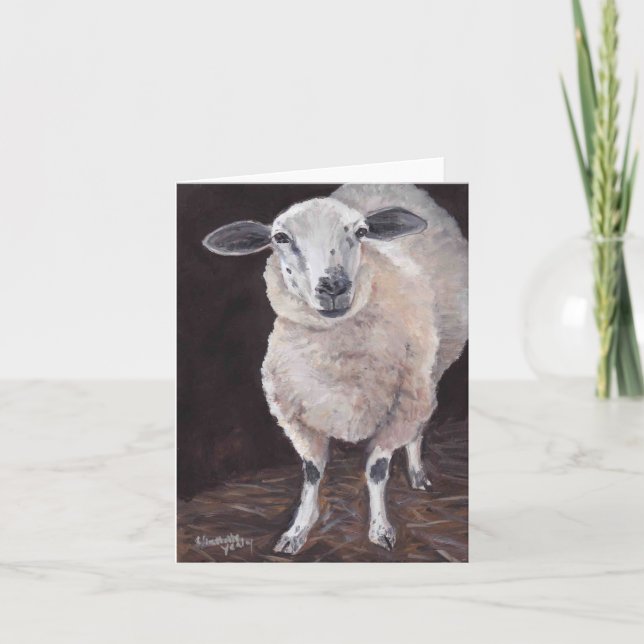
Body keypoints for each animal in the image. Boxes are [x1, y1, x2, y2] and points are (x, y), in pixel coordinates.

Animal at [202, 183, 468, 554]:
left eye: (361, 232)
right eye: (280, 237)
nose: (333, 286)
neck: (336, 359)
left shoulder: (400, 407)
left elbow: (377, 469)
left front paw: (380, 529)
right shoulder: (295, 417)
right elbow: (312, 473)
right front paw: (297, 530)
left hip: (429, 374)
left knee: (420, 424)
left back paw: (417, 474)